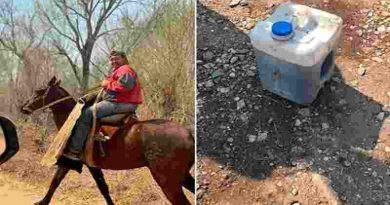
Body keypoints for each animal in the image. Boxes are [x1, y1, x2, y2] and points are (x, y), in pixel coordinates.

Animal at [15, 76, 195, 205]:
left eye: (39, 91)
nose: (23, 107)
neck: (74, 120)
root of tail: (188, 133)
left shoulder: (80, 163)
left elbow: (98, 187)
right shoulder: (80, 163)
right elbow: (59, 181)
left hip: (168, 181)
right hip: (182, 177)